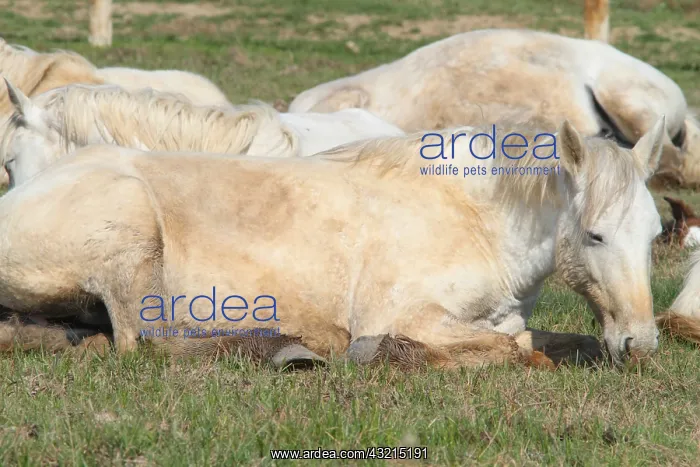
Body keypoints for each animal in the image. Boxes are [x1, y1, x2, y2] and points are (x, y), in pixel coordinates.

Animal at [0, 116, 667, 369]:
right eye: (595, 234)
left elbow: (548, 339)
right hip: (133, 233)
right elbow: (519, 348)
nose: (640, 343)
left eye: (655, 234)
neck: (473, 219)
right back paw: (298, 345)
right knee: (144, 342)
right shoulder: (408, 315)